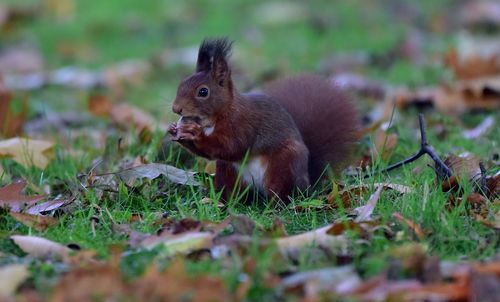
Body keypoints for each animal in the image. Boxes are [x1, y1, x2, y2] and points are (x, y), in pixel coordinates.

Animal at [169, 38, 360, 203]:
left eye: (203, 92)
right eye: (181, 84)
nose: (176, 109)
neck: (215, 119)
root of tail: (307, 182)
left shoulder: (243, 124)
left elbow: (231, 146)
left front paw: (195, 134)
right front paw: (174, 130)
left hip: (283, 165)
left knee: (282, 193)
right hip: (227, 172)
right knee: (236, 193)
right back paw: (226, 203)